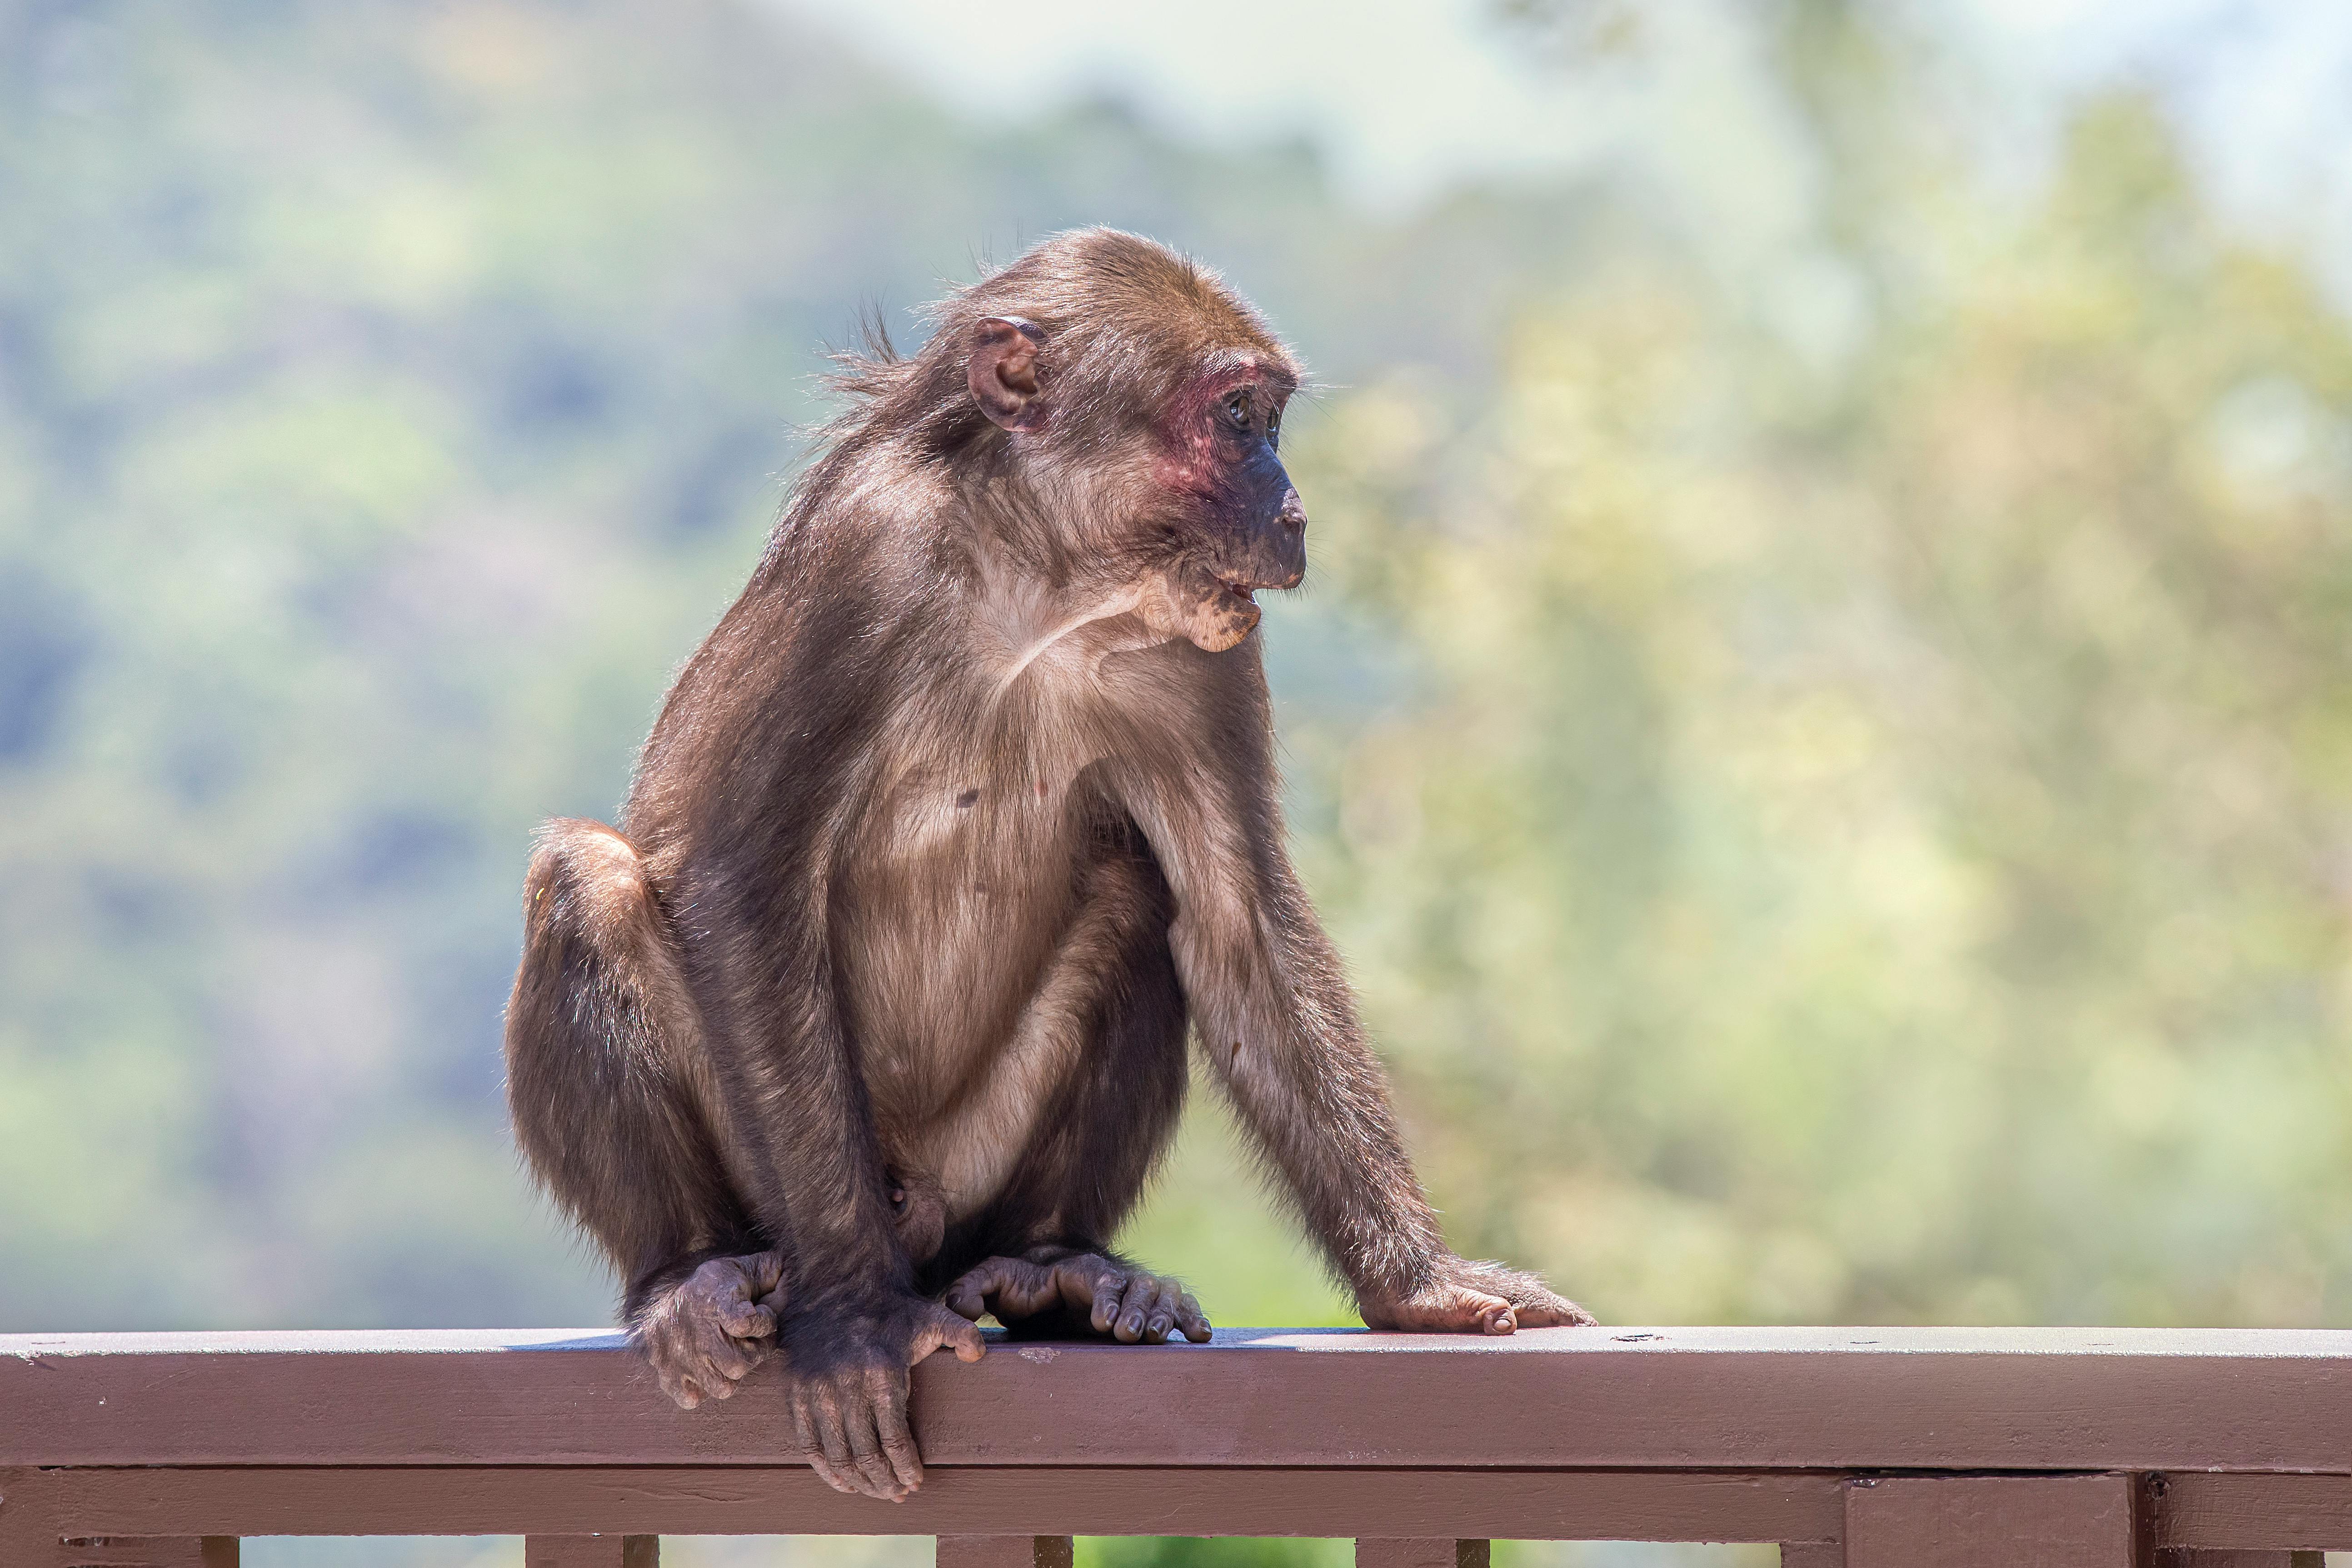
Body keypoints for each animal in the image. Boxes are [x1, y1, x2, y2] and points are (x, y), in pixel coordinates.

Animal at [503, 227, 1590, 1504]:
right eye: (1237, 418)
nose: (1291, 507)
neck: (1037, 587)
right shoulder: (866, 562)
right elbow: (741, 884)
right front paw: (855, 1320)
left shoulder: (1201, 652)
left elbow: (1236, 917)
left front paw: (1418, 1283)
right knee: (587, 880)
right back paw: (692, 1272)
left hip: (972, 1178)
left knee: (1133, 894)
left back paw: (1053, 1266)